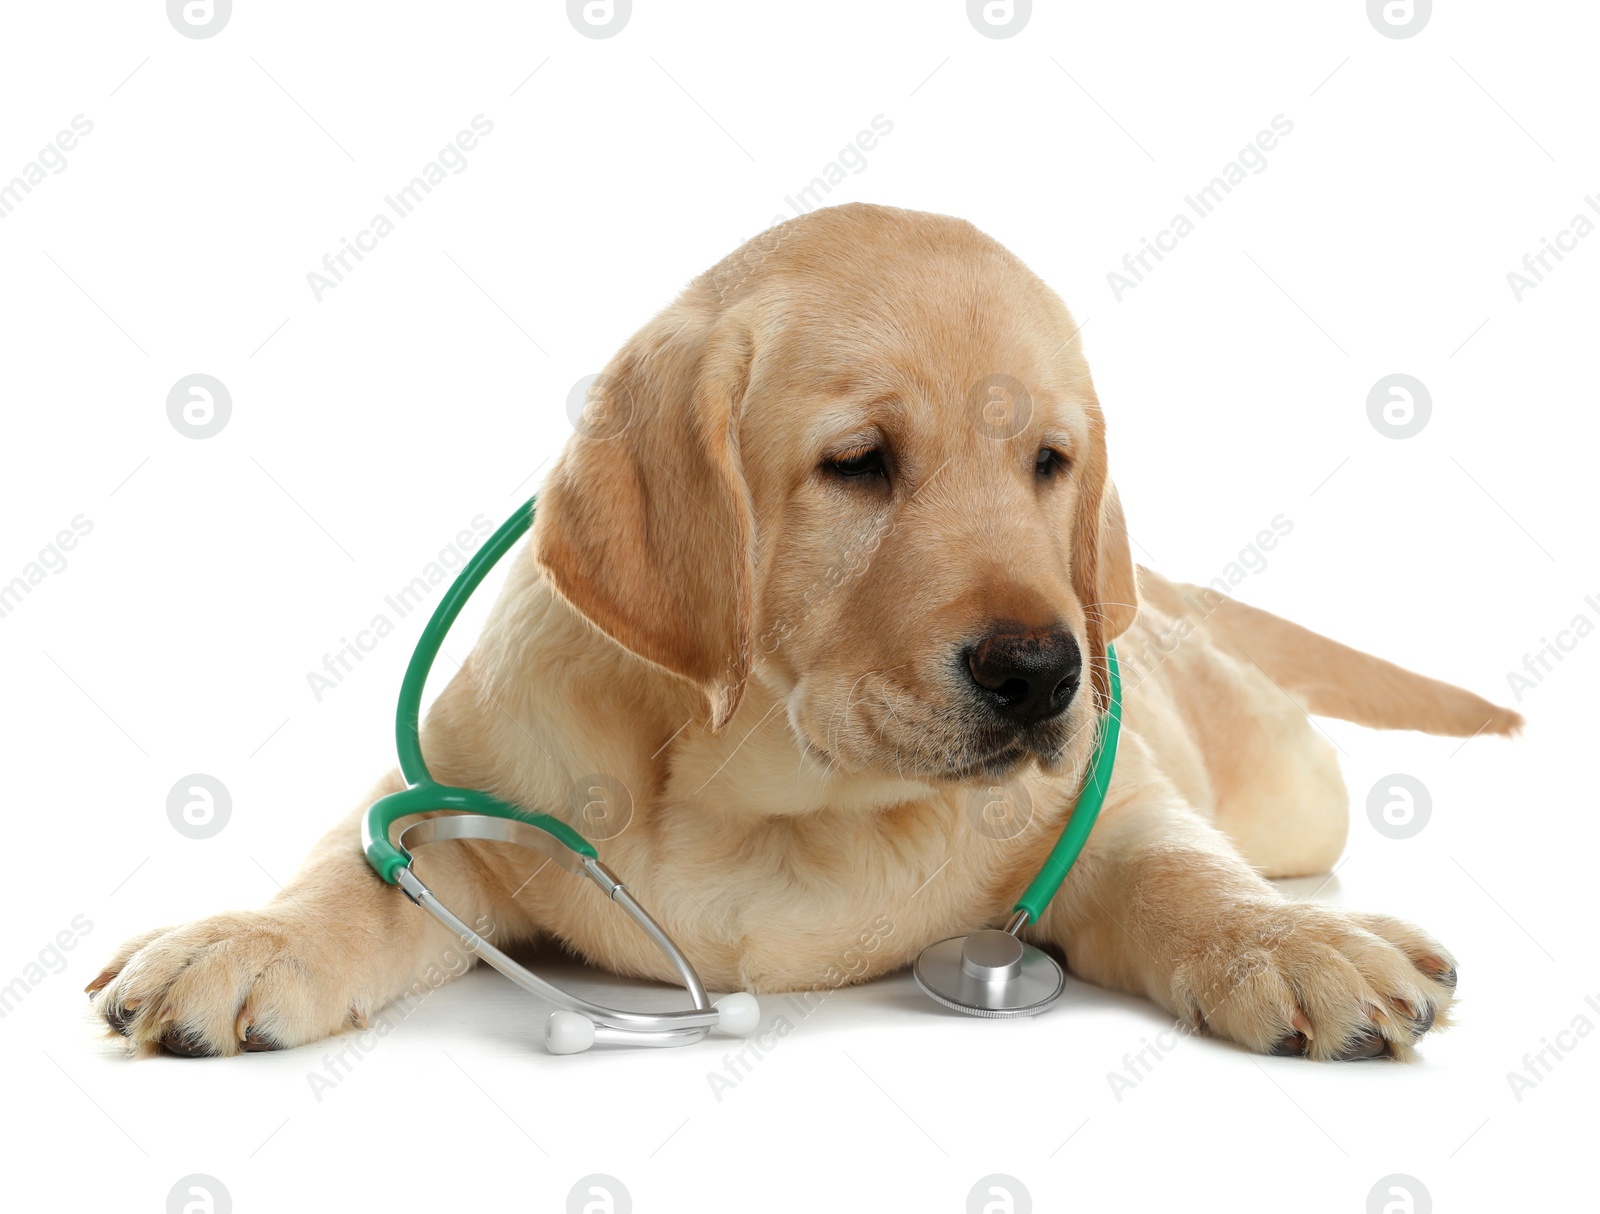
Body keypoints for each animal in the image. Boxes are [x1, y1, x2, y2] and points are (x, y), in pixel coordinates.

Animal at [93, 203, 1516, 1062]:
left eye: (1049, 462)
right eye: (858, 463)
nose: (1045, 670)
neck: (783, 804)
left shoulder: (1117, 811)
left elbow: (1179, 868)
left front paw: (1294, 944)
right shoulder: (452, 792)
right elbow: (350, 871)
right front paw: (246, 937)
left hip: (1294, 790)